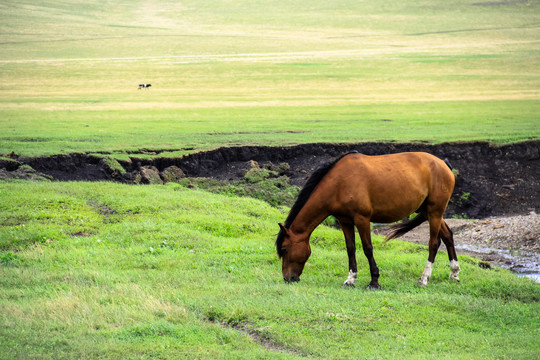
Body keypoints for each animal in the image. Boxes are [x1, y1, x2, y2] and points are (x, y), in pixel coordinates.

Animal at [278, 150, 460, 288]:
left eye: (285, 249)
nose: (288, 278)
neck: (339, 183)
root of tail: (443, 164)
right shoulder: (345, 221)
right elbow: (350, 248)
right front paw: (350, 280)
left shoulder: (362, 219)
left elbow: (367, 248)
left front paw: (374, 281)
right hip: (429, 212)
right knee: (447, 236)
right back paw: (454, 273)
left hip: (435, 211)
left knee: (434, 243)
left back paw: (424, 279)